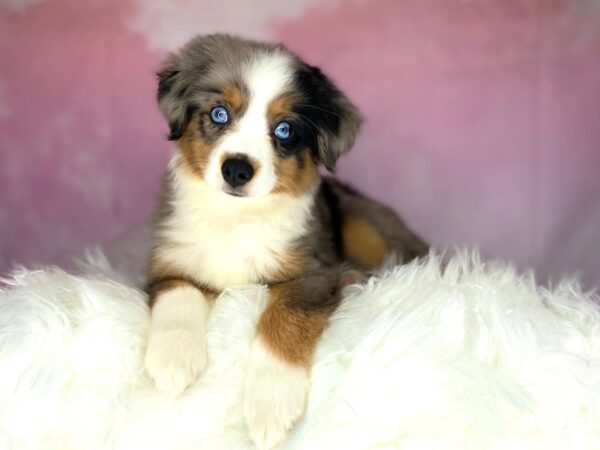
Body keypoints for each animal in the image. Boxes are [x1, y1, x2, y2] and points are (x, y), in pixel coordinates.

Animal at [145, 33, 426, 448]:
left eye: (283, 130)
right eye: (219, 114)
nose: (237, 170)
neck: (236, 218)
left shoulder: (312, 270)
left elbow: (286, 317)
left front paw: (271, 404)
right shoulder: (168, 257)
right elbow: (179, 291)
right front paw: (173, 359)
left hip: (363, 223)